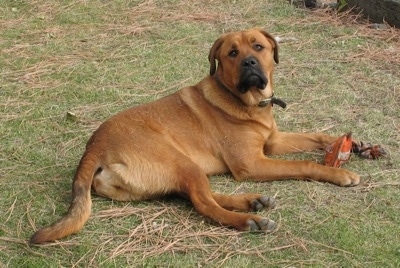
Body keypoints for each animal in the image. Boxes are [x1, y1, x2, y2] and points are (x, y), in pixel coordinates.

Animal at [29, 28, 360, 244]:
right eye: (232, 53)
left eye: (258, 47)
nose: (249, 63)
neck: (244, 101)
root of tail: (94, 146)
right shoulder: (252, 163)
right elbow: (303, 164)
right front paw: (339, 174)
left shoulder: (273, 142)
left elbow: (313, 136)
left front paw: (349, 144)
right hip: (181, 161)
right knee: (204, 203)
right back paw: (249, 220)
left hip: (177, 173)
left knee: (200, 196)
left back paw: (253, 202)